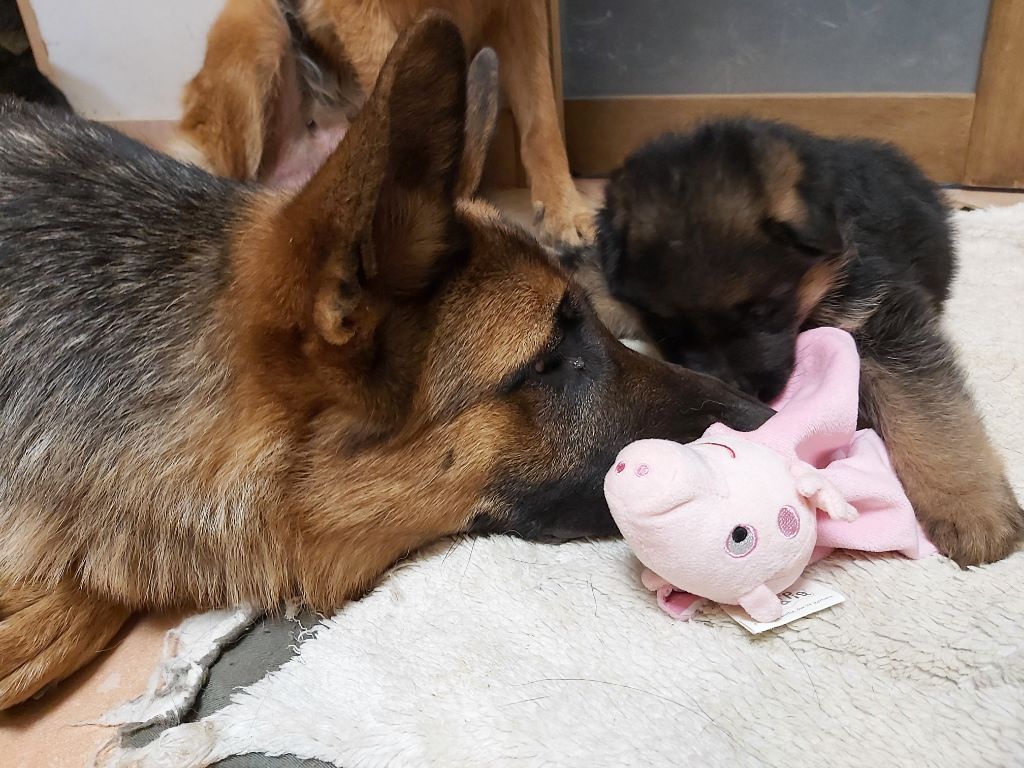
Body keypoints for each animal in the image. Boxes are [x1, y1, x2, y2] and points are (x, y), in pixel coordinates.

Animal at [569, 117, 1024, 569]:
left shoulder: (880, 316)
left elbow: (928, 415)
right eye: (665, 328)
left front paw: (971, 506)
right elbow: (590, 278)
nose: (741, 391)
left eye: (764, 310)